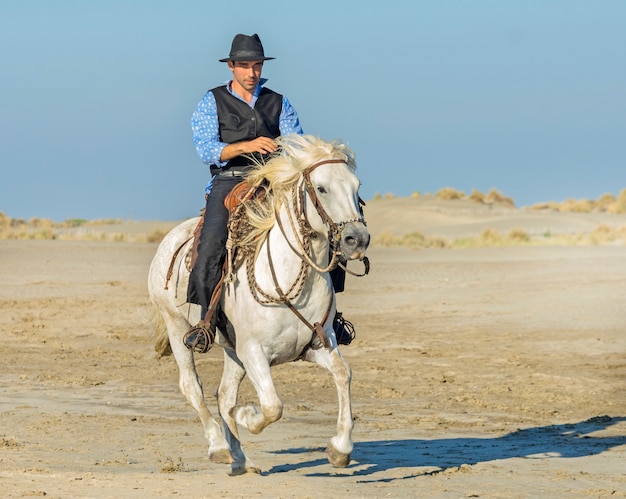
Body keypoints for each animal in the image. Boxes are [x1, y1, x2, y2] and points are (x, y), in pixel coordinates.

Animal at [148, 135, 368, 474]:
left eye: (357, 187)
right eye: (321, 188)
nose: (357, 239)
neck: (291, 277)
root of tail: (169, 239)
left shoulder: (317, 344)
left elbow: (344, 374)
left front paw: (340, 449)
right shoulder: (254, 351)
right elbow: (272, 406)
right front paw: (247, 416)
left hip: (232, 351)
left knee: (224, 395)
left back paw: (240, 459)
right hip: (177, 327)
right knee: (193, 387)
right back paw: (219, 447)